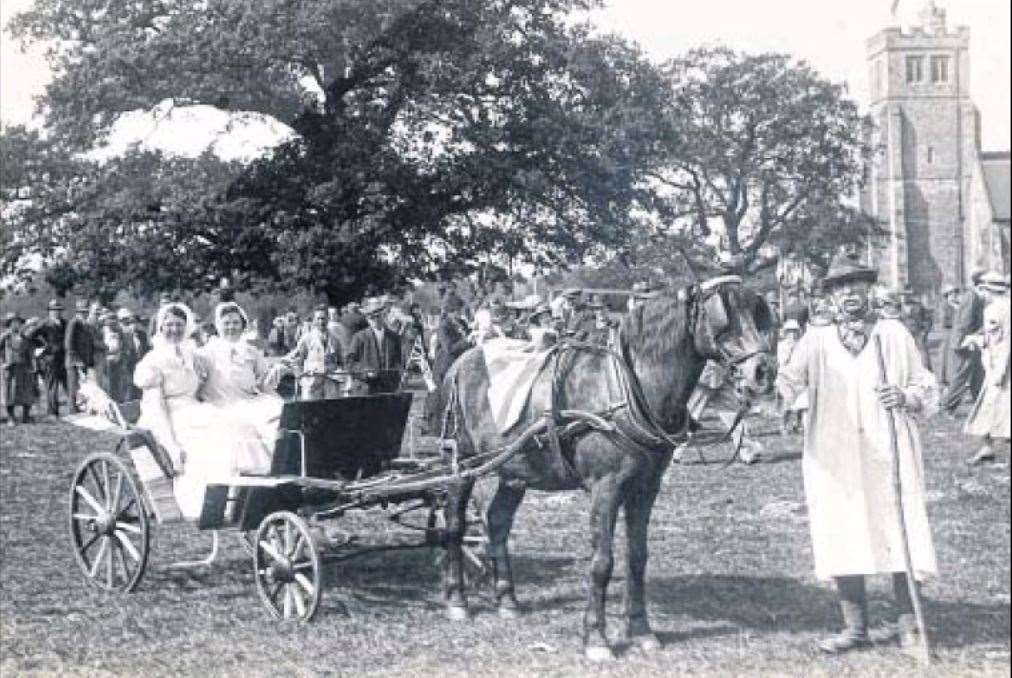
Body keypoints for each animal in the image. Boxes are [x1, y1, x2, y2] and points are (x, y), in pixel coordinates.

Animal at [435, 273, 773, 659]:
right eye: (723, 316)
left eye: (758, 314)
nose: (763, 371)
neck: (628, 388)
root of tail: (462, 361)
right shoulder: (605, 487)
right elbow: (602, 562)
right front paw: (596, 638)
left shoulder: (645, 488)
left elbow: (637, 557)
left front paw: (641, 630)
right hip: (460, 462)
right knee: (455, 524)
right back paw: (457, 600)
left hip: (517, 468)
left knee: (498, 522)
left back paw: (507, 599)